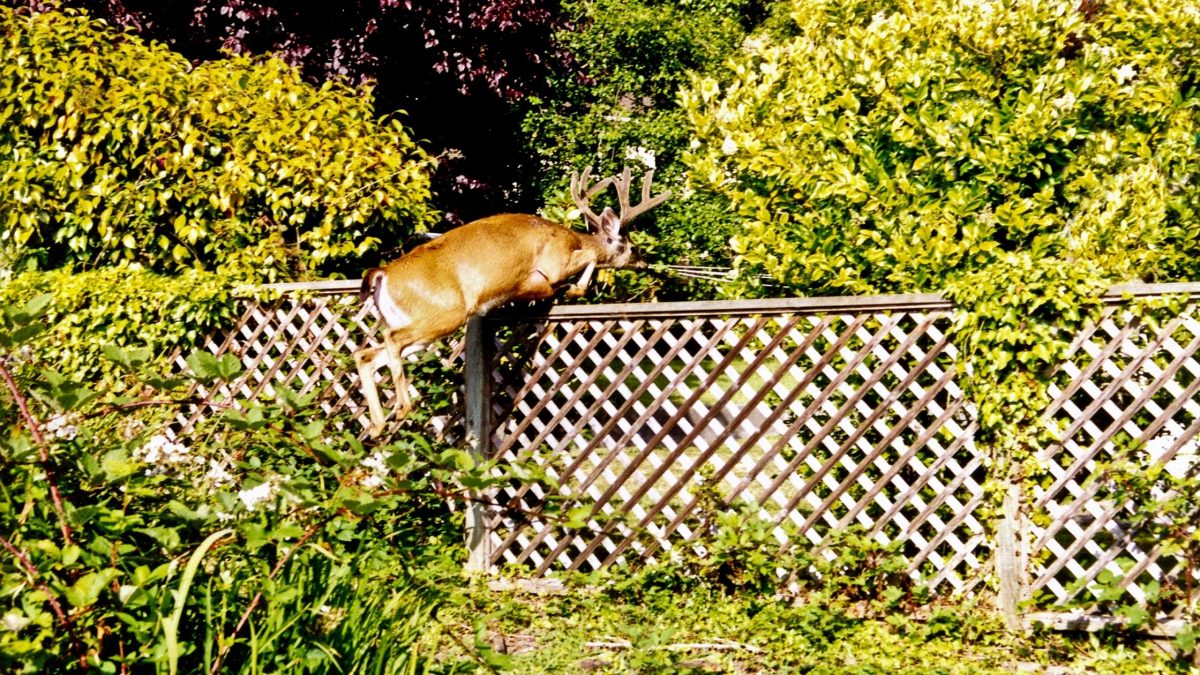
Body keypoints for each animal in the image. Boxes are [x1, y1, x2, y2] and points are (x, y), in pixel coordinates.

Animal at [353, 166, 670, 437]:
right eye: (633, 247)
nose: (644, 262)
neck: (572, 238)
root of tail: (382, 273)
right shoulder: (553, 264)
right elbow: (586, 262)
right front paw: (572, 289)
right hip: (444, 312)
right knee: (389, 340)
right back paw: (401, 408)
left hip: (420, 324)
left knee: (365, 354)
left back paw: (377, 425)